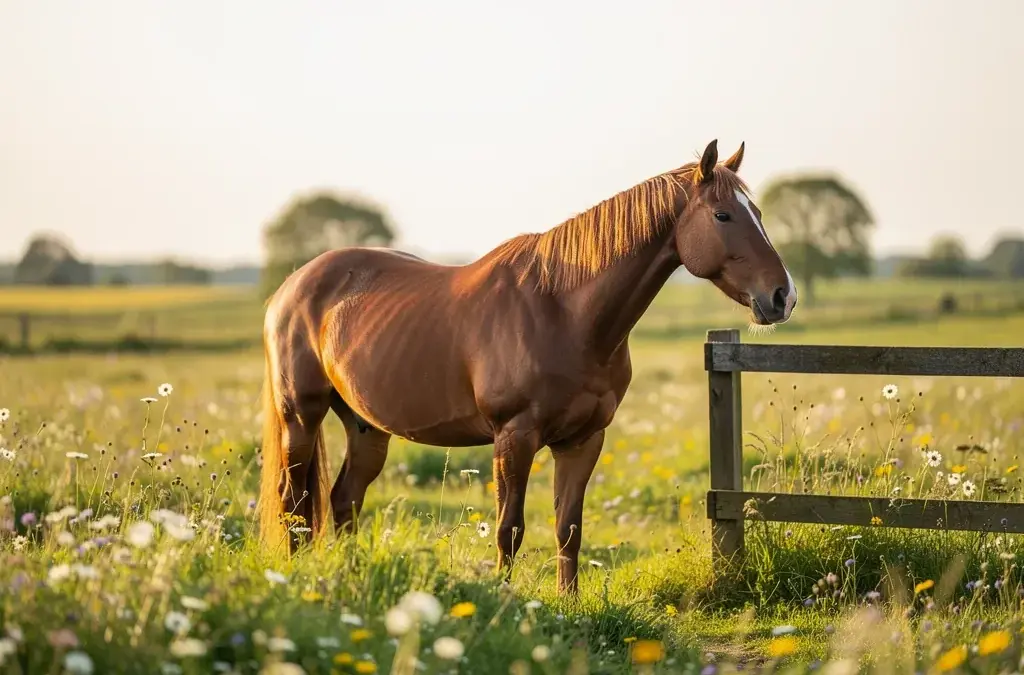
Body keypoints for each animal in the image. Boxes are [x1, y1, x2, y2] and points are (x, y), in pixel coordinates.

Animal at [257, 139, 797, 594]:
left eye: (758, 212)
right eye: (723, 214)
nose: (782, 296)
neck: (563, 311)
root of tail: (292, 286)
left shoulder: (583, 439)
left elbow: (568, 528)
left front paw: (569, 603)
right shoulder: (513, 437)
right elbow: (509, 529)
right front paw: (507, 600)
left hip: (365, 426)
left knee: (343, 500)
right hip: (300, 415)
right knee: (294, 501)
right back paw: (297, 579)